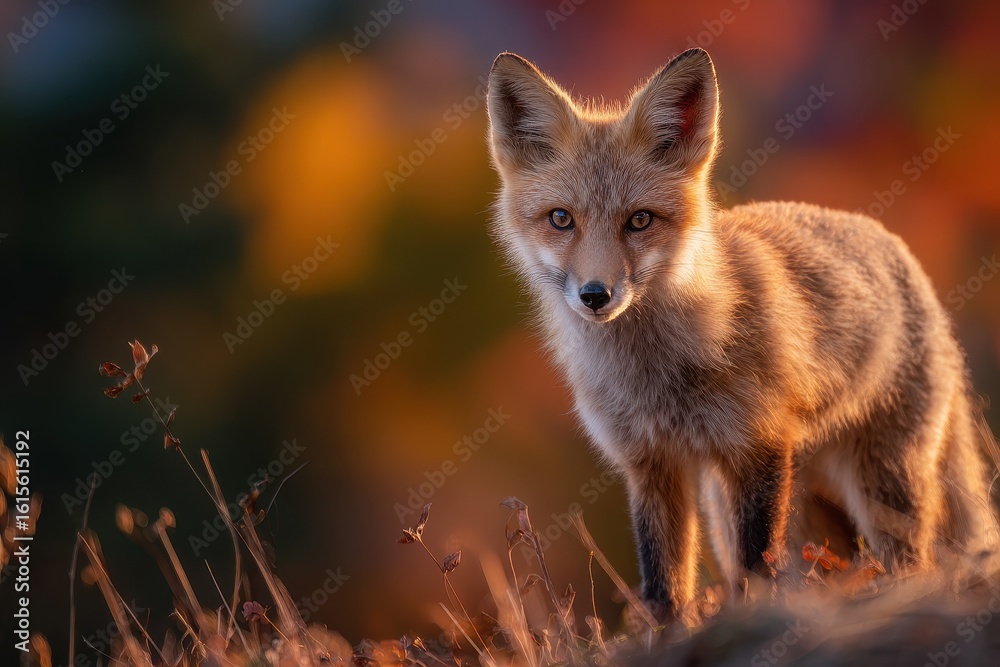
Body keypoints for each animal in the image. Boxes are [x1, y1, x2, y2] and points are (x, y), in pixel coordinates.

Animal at [484, 47, 998, 620]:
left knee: (914, 565)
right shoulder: (651, 465)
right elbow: (664, 585)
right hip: (770, 503)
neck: (656, 376)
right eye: (561, 219)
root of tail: (899, 250)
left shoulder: (759, 447)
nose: (596, 295)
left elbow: (758, 566)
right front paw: (673, 632)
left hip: (883, 484)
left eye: (640, 220)